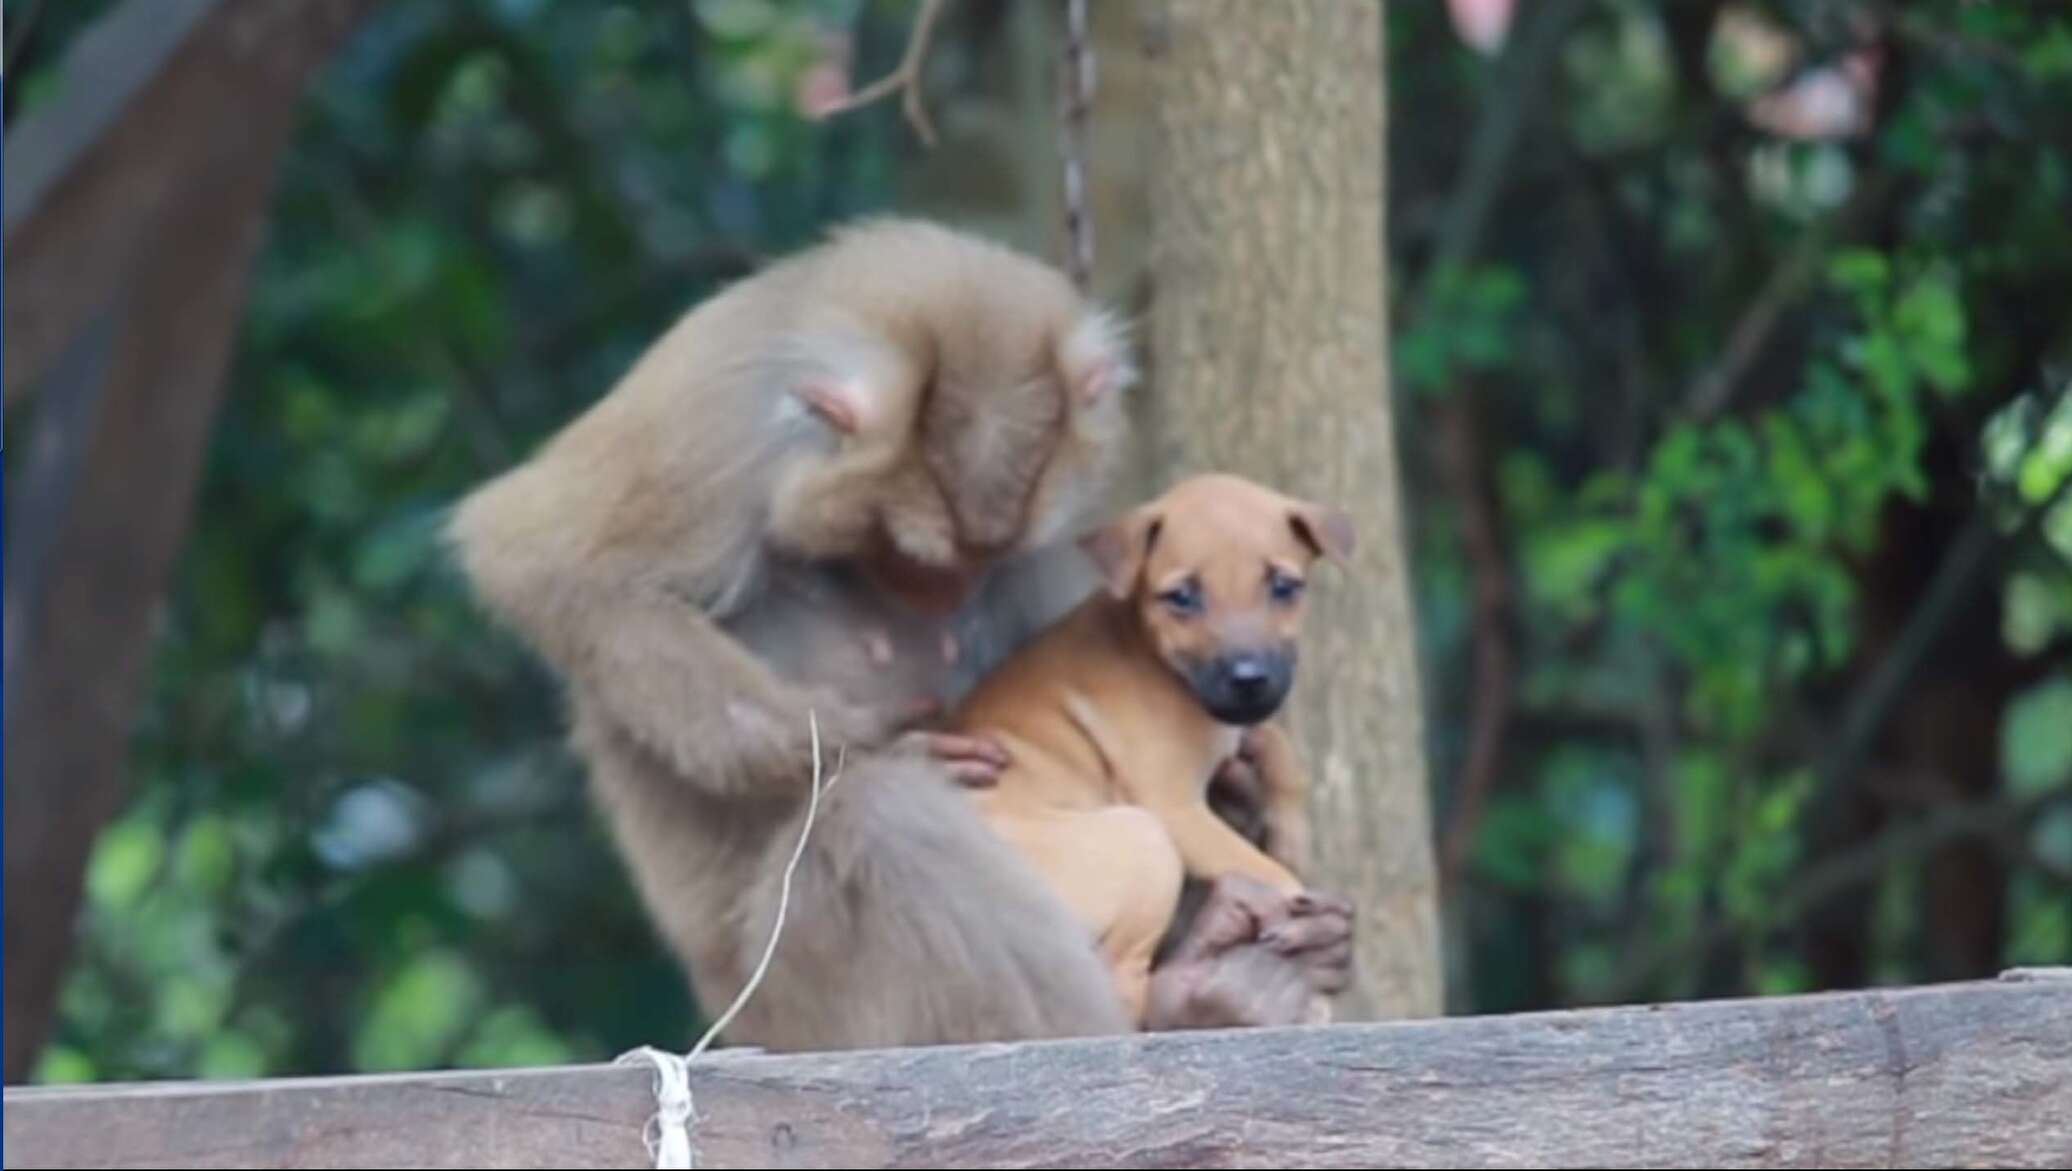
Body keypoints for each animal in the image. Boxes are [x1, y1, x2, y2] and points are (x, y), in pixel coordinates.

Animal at [948, 470, 1350, 1019]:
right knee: (1121, 986)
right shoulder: (1174, 807)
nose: (1249, 678)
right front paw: (1309, 961)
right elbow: (1269, 875)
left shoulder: (1233, 730)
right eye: (1181, 597)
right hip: (1143, 838)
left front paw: (1291, 832)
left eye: (1283, 587)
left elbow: (1277, 746)